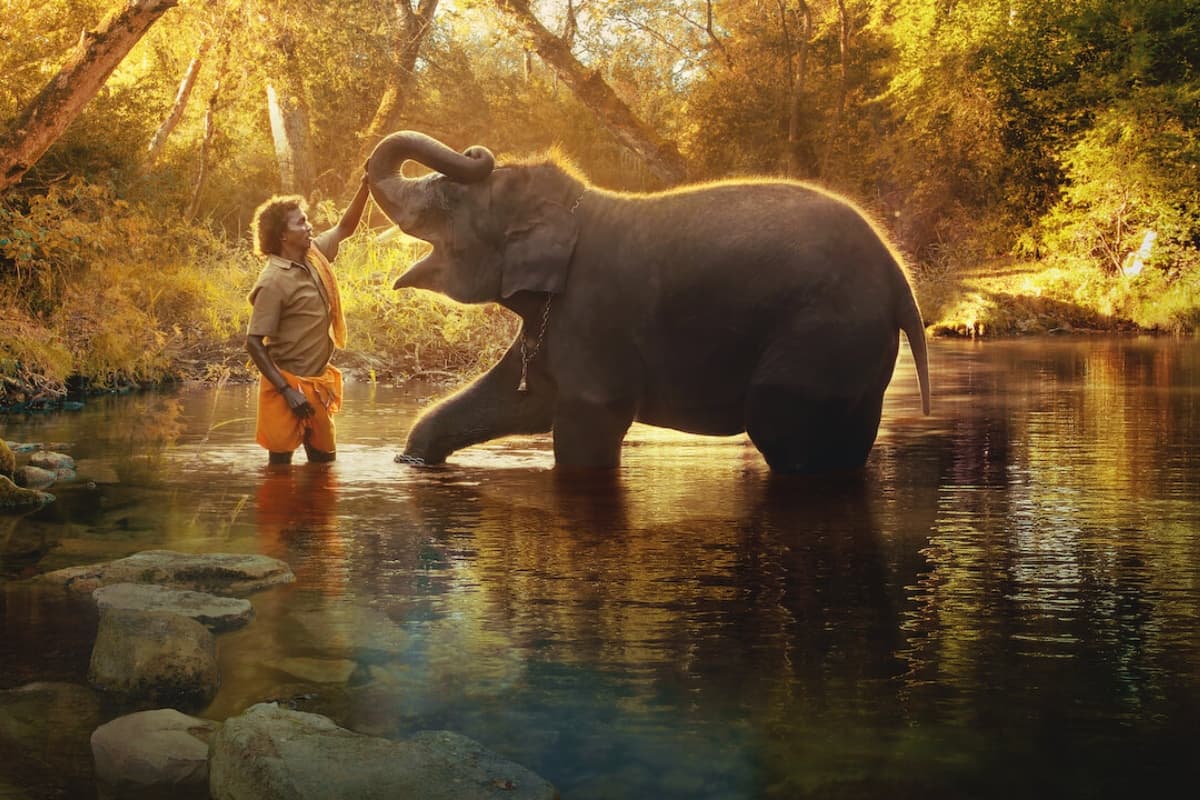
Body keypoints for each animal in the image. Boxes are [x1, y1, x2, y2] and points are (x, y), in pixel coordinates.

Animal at [366, 131, 930, 473]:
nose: (477, 151)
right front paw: (413, 462)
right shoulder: (558, 319)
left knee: (781, 427)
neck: (575, 208)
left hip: (824, 334)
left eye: (448, 200)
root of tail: (900, 280)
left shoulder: (593, 313)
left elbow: (586, 424)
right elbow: (518, 400)